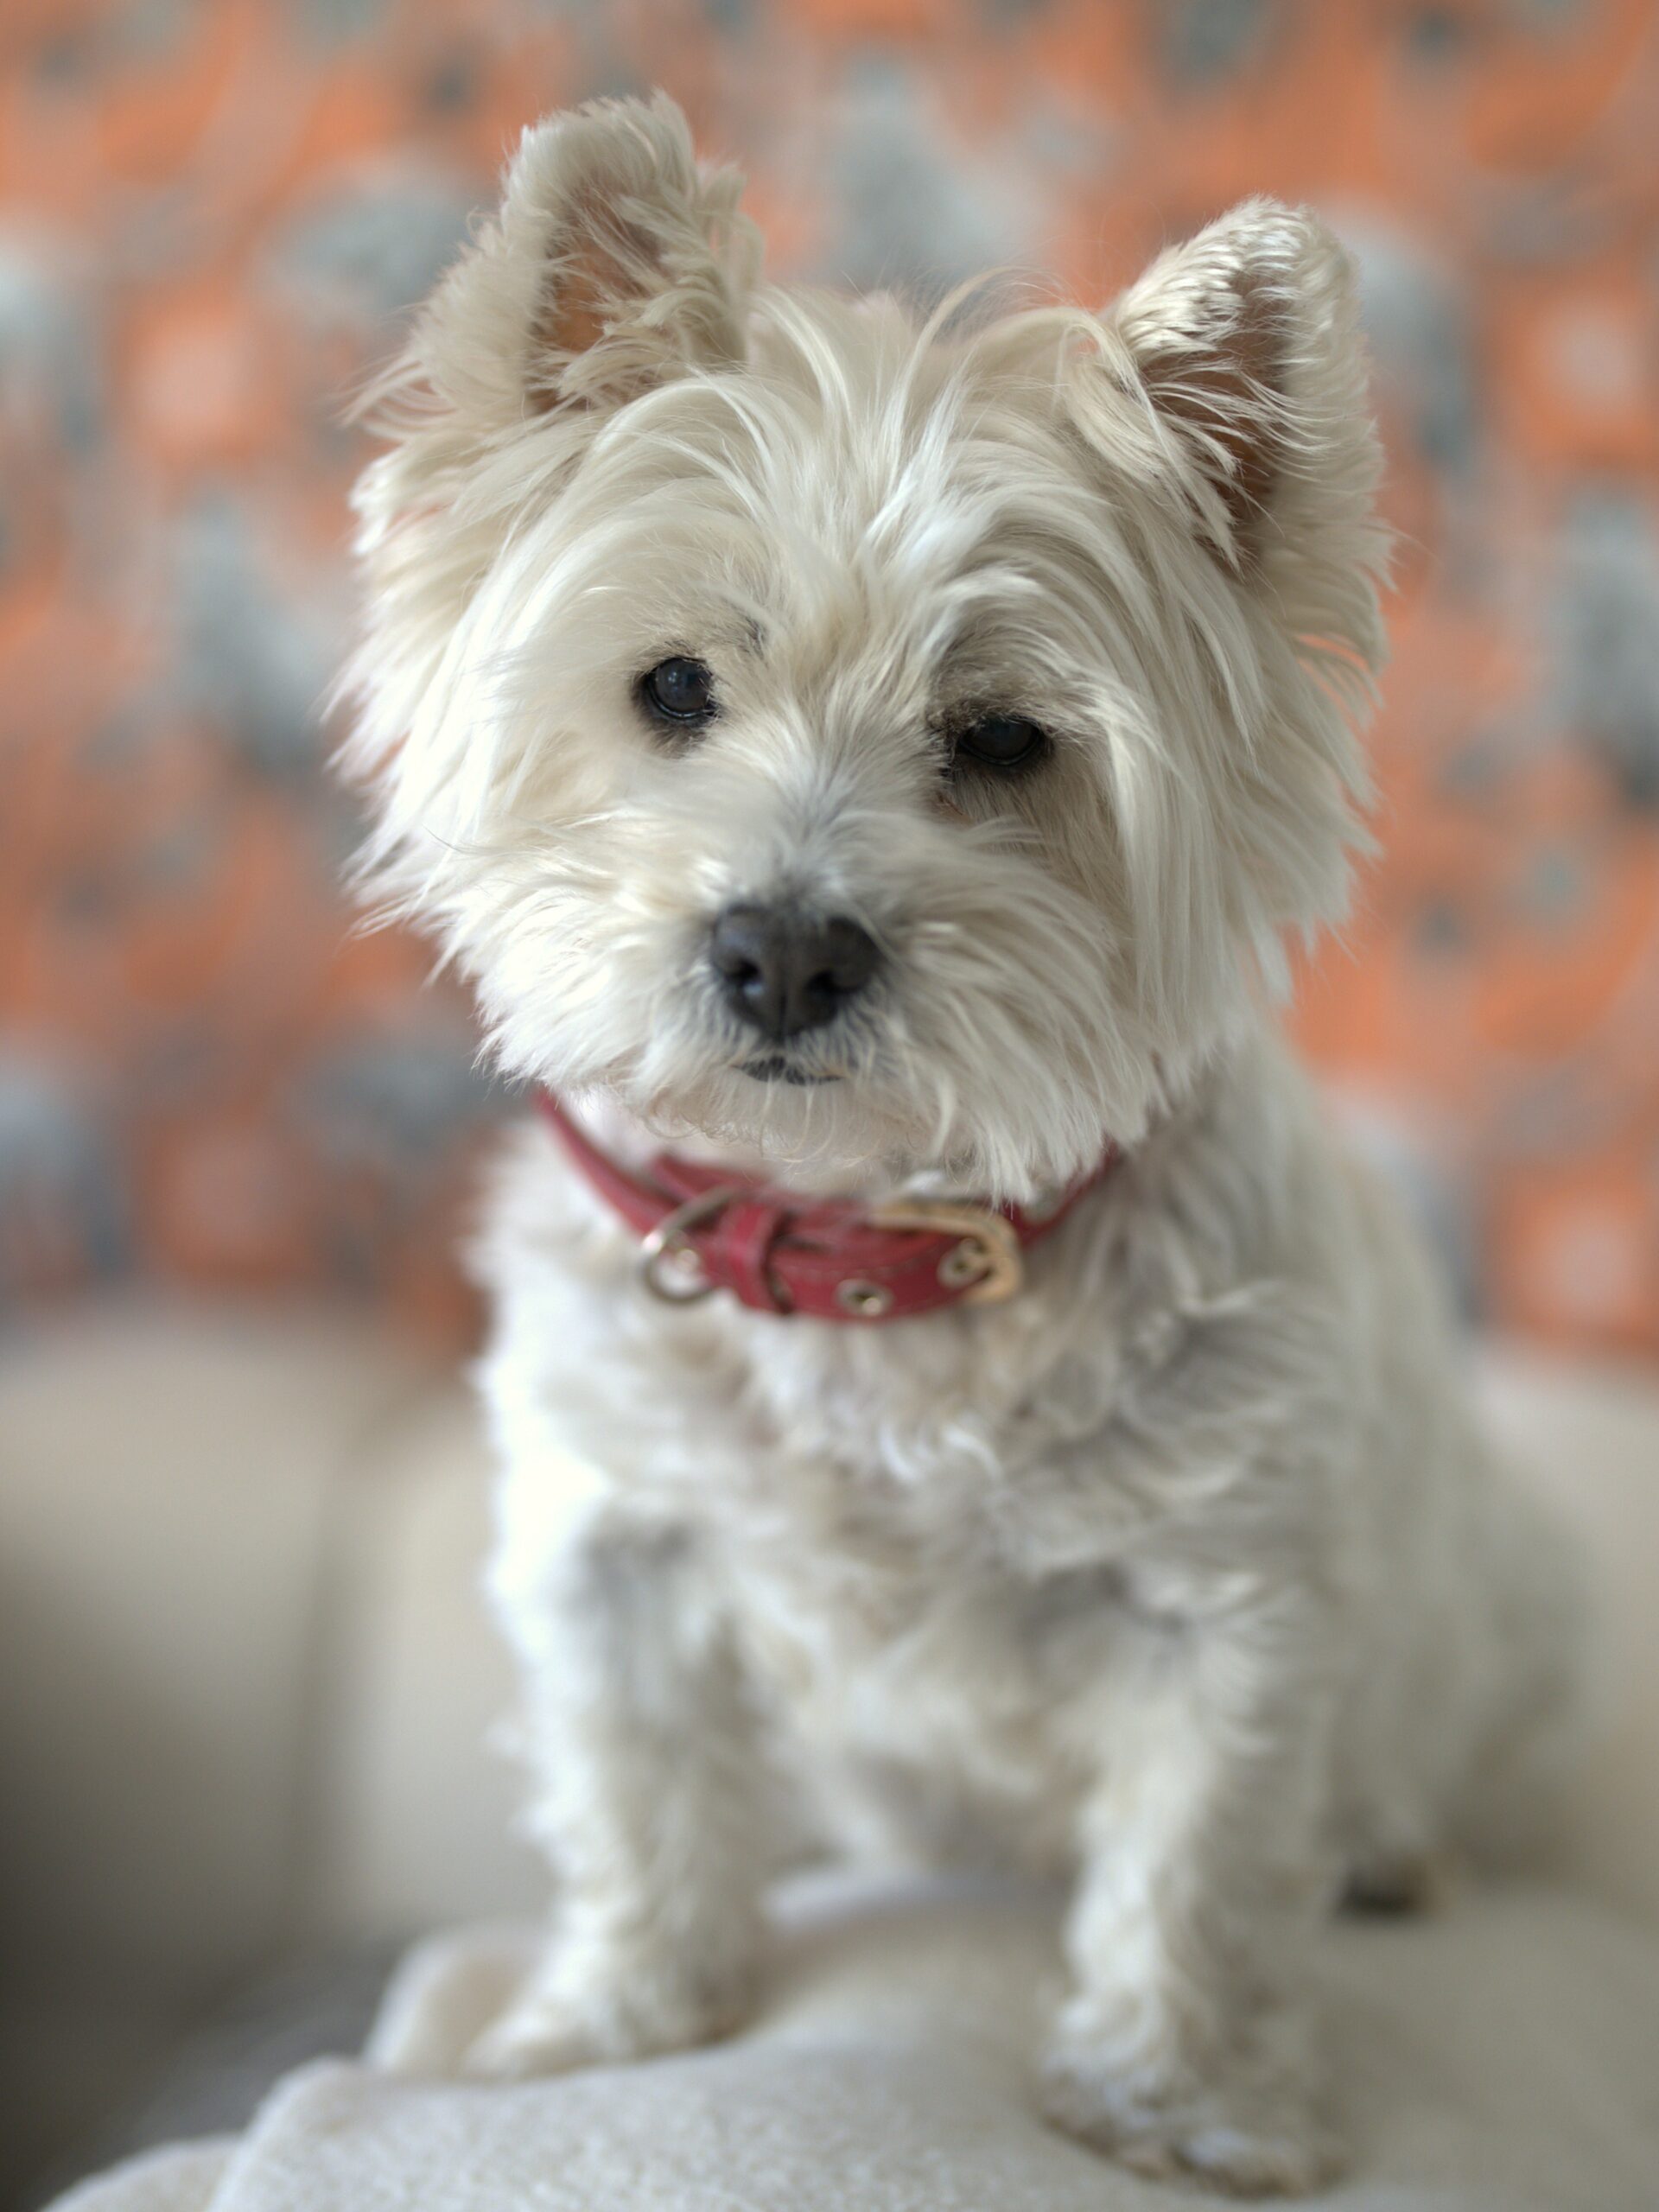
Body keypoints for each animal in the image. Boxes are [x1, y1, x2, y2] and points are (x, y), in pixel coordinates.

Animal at [340, 93, 1585, 2193]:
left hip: (1490, 1630)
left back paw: (1398, 1856)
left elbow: (1196, 1867)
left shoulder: (1230, 1605)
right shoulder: (613, 1551)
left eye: (1003, 738)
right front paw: (605, 2026)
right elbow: (635, 1799)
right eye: (672, 686)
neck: (878, 1263)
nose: (781, 949)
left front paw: (1174, 2111)